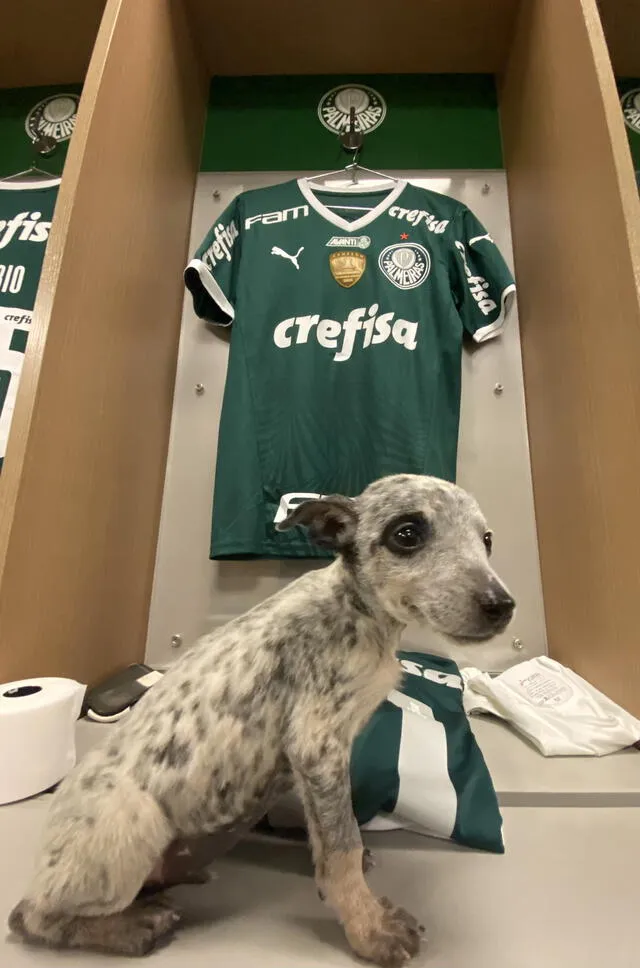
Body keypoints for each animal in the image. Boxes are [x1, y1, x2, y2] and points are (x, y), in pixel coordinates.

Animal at [8, 472, 516, 964]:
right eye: (406, 534)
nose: (502, 605)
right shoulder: (317, 748)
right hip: (133, 817)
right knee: (31, 918)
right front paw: (369, 928)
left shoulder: (310, 765)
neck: (358, 614)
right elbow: (342, 848)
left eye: (487, 540)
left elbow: (326, 838)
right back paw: (131, 927)